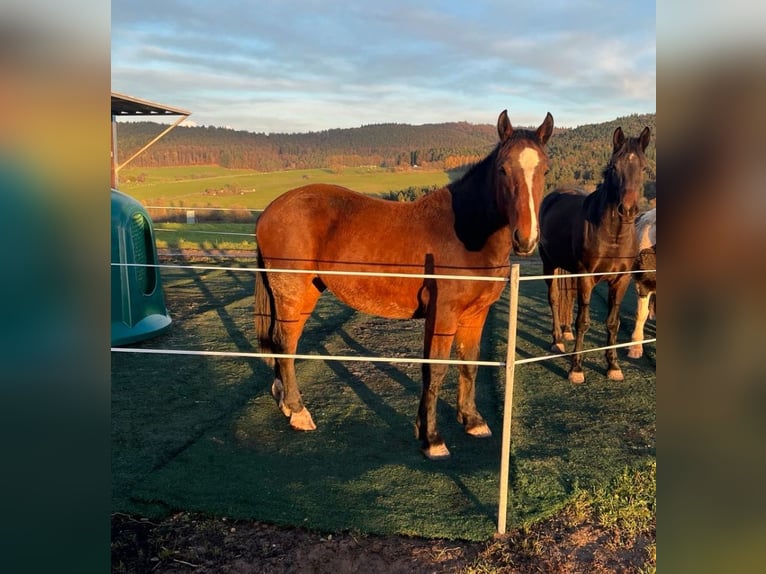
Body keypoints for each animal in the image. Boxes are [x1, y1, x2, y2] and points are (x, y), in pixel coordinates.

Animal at [254, 110, 554, 459]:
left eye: (545, 169)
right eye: (503, 169)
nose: (526, 238)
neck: (466, 233)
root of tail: (270, 211)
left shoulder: (475, 314)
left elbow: (470, 363)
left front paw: (472, 421)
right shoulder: (443, 316)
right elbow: (435, 370)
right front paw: (431, 438)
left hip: (306, 294)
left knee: (285, 343)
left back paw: (286, 404)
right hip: (291, 291)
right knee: (285, 344)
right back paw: (299, 413)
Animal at [538, 125, 651, 384]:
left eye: (643, 167)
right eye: (614, 167)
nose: (627, 210)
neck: (612, 235)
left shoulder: (621, 280)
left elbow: (612, 323)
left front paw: (613, 365)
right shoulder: (586, 278)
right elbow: (583, 321)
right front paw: (576, 368)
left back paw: (565, 334)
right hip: (549, 264)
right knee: (554, 298)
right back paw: (557, 340)